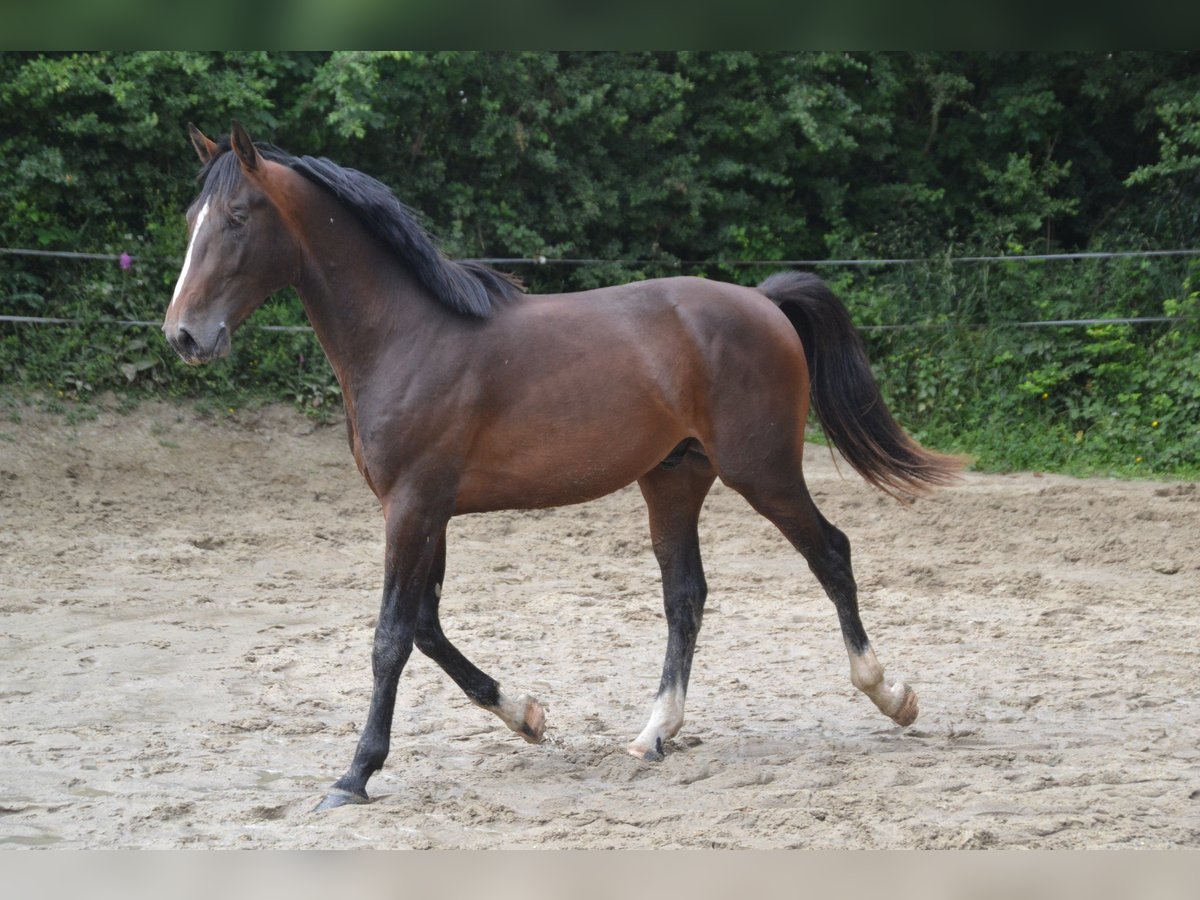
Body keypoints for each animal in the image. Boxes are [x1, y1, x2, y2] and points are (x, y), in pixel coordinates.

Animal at [164, 123, 960, 816]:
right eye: (189, 218)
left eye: (236, 217)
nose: (184, 336)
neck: (407, 336)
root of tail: (762, 303)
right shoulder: (428, 510)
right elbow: (426, 627)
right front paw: (527, 717)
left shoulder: (413, 505)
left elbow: (391, 638)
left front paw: (354, 775)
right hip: (674, 480)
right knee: (686, 595)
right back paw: (653, 734)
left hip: (761, 472)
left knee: (831, 554)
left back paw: (891, 695)